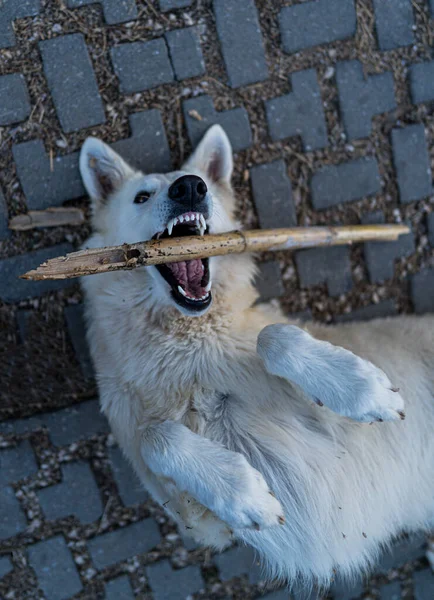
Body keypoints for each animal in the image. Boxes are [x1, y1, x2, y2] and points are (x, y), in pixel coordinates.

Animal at [78, 125, 434, 592]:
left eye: (199, 183)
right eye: (141, 196)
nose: (190, 187)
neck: (187, 344)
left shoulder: (331, 423)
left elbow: (274, 337)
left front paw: (364, 390)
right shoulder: (196, 519)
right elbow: (157, 437)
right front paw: (241, 491)